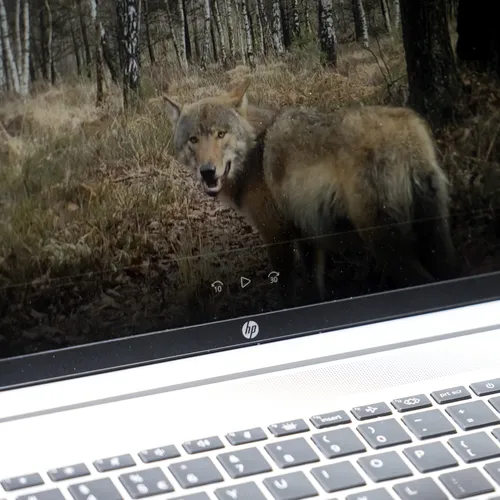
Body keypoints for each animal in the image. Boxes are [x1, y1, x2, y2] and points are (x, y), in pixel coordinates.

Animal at [164, 78, 458, 304]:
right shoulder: (307, 235)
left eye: (221, 134)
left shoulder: (276, 238)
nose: (207, 171)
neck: (254, 153)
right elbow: (313, 286)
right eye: (193, 140)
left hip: (386, 246)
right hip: (435, 241)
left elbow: (286, 292)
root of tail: (407, 130)